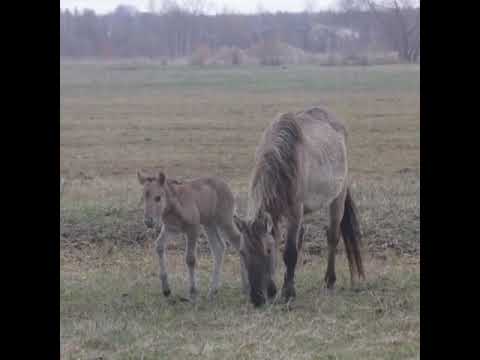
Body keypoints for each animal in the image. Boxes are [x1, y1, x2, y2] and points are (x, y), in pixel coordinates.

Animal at [136, 171, 246, 300]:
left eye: (158, 198)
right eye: (143, 198)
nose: (148, 221)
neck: (174, 206)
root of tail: (227, 187)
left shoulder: (193, 229)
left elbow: (190, 259)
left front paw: (193, 292)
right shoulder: (171, 229)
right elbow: (159, 246)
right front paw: (166, 289)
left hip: (224, 221)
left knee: (238, 241)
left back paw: (246, 286)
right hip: (209, 224)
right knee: (219, 247)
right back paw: (213, 291)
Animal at [234, 106, 366, 306]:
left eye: (267, 250)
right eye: (242, 252)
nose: (257, 299)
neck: (283, 159)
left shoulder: (295, 211)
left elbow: (289, 252)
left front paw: (288, 293)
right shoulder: (276, 214)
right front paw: (278, 288)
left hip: (338, 197)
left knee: (332, 237)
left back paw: (329, 281)